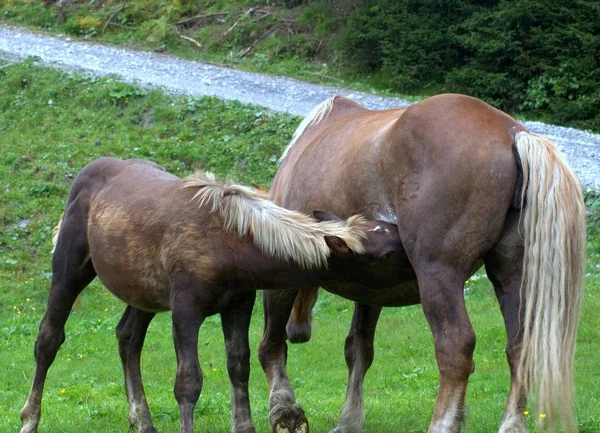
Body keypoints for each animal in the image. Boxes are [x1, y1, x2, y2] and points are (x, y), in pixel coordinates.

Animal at [18, 157, 406, 432]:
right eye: (387, 253)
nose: (414, 258)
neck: (231, 247)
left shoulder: (238, 302)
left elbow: (239, 366)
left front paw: (244, 427)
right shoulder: (185, 308)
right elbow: (188, 381)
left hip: (143, 293)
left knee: (127, 337)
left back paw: (142, 421)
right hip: (70, 269)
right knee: (48, 338)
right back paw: (29, 420)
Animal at [258, 94, 584, 432]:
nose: (300, 330)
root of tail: (511, 134)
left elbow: (271, 347)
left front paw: (283, 409)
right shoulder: (369, 288)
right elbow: (358, 349)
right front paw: (349, 420)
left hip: (438, 277)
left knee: (455, 348)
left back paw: (442, 423)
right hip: (511, 276)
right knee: (519, 348)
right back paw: (510, 424)